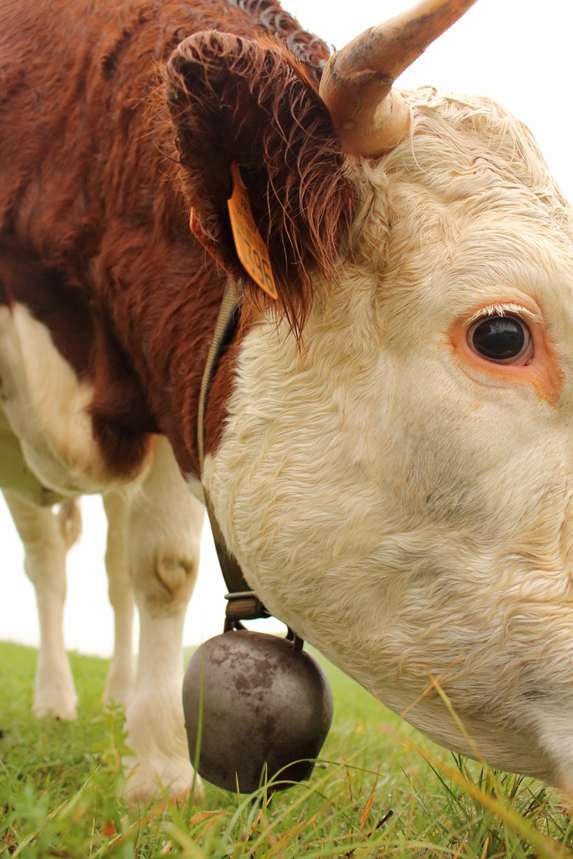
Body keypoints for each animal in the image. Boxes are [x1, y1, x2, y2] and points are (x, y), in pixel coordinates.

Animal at [1, 0, 572, 800]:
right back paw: (57, 699)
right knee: (49, 564)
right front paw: (159, 771)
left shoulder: (173, 383)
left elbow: (161, 566)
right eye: (499, 334)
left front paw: (154, 760)